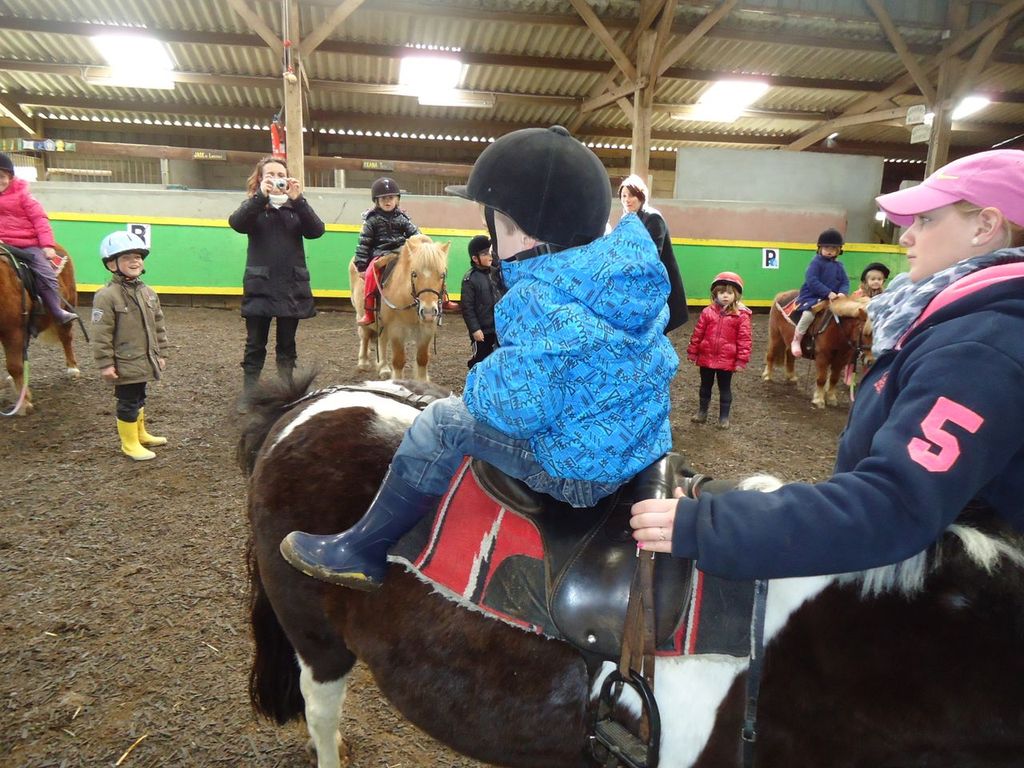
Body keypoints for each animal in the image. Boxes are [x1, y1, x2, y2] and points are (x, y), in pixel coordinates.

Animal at [0, 244, 80, 416]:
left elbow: (14, 366)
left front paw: (23, 403)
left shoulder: (12, 330)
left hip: (67, 306)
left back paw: (72, 369)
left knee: (66, 337)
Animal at [348, 234, 449, 381]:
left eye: (442, 275)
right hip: (362, 314)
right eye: (414, 274)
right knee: (365, 335)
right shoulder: (396, 329)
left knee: (382, 340)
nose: (428, 313)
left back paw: (383, 368)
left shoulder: (427, 329)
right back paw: (363, 362)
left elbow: (422, 359)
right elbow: (399, 361)